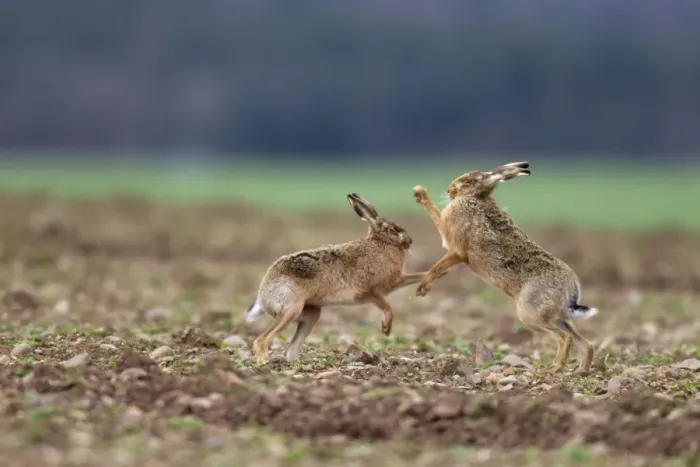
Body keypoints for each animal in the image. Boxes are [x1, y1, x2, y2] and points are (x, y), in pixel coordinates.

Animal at [246, 193, 427, 364]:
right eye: (392, 230)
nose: (410, 241)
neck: (381, 243)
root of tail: (262, 296)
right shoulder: (370, 291)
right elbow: (388, 307)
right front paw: (386, 328)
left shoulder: (394, 283)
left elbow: (415, 278)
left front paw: (427, 279)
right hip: (290, 309)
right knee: (261, 340)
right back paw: (264, 361)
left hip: (310, 314)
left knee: (290, 350)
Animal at [412, 161, 598, 375]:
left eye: (468, 181)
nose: (450, 190)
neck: (476, 197)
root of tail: (571, 289)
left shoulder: (456, 249)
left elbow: (437, 263)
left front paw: (423, 287)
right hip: (557, 316)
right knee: (585, 343)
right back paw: (581, 370)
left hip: (530, 314)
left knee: (564, 338)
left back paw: (552, 368)